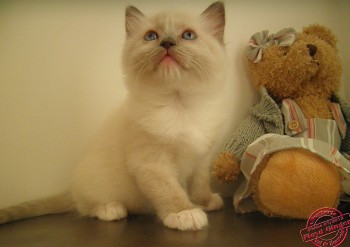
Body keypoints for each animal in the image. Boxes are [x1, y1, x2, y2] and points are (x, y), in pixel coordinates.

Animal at [1, 1, 235, 232]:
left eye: (188, 35)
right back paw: (112, 209)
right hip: (95, 184)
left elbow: (200, 183)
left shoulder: (202, 158)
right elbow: (170, 190)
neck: (180, 105)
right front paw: (184, 213)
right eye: (151, 36)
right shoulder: (152, 164)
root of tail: (70, 187)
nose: (167, 43)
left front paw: (206, 202)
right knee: (85, 207)